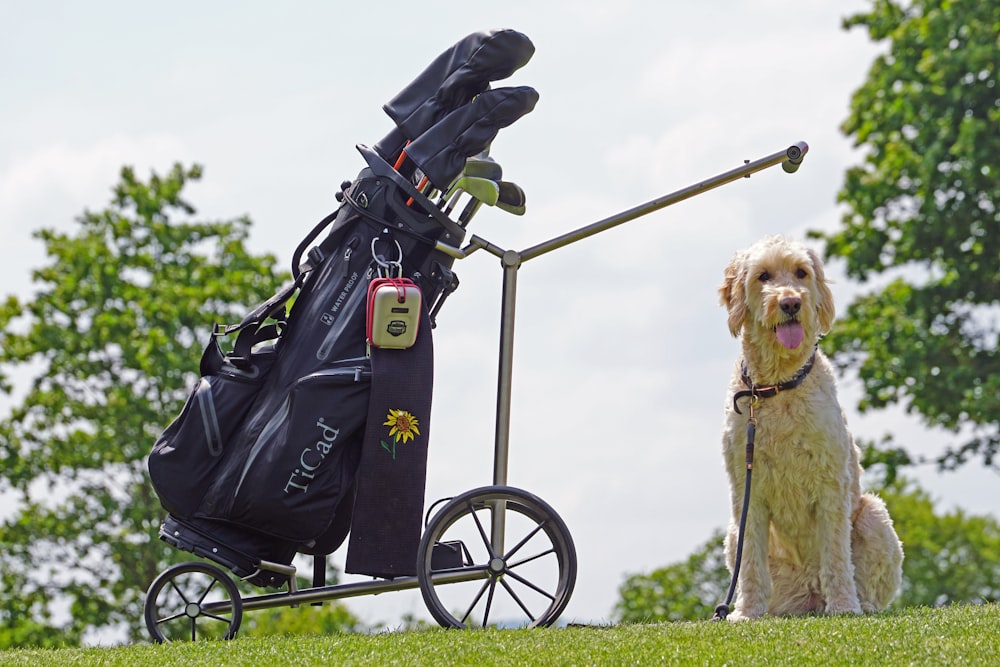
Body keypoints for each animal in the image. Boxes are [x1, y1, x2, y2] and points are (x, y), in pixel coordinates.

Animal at [716, 235, 904, 620]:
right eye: (763, 276)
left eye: (801, 272)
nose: (790, 302)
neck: (779, 384)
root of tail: (809, 599)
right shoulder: (746, 488)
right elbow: (751, 561)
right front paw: (747, 612)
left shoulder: (831, 483)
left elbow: (835, 555)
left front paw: (844, 606)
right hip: (731, 535)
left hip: (875, 515)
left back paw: (860, 604)